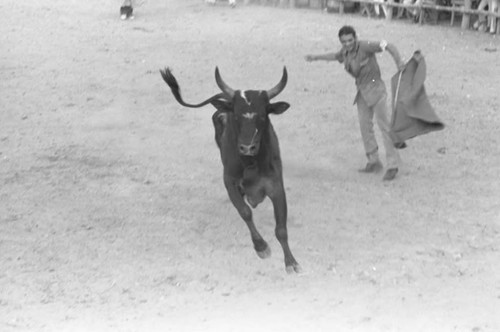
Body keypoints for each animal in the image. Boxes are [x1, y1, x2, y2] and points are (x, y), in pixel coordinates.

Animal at [160, 66, 300, 274]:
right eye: (236, 115)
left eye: (263, 115)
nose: (247, 147)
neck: (251, 163)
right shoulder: (229, 182)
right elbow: (245, 212)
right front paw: (261, 247)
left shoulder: (276, 186)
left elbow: (281, 229)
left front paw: (291, 261)